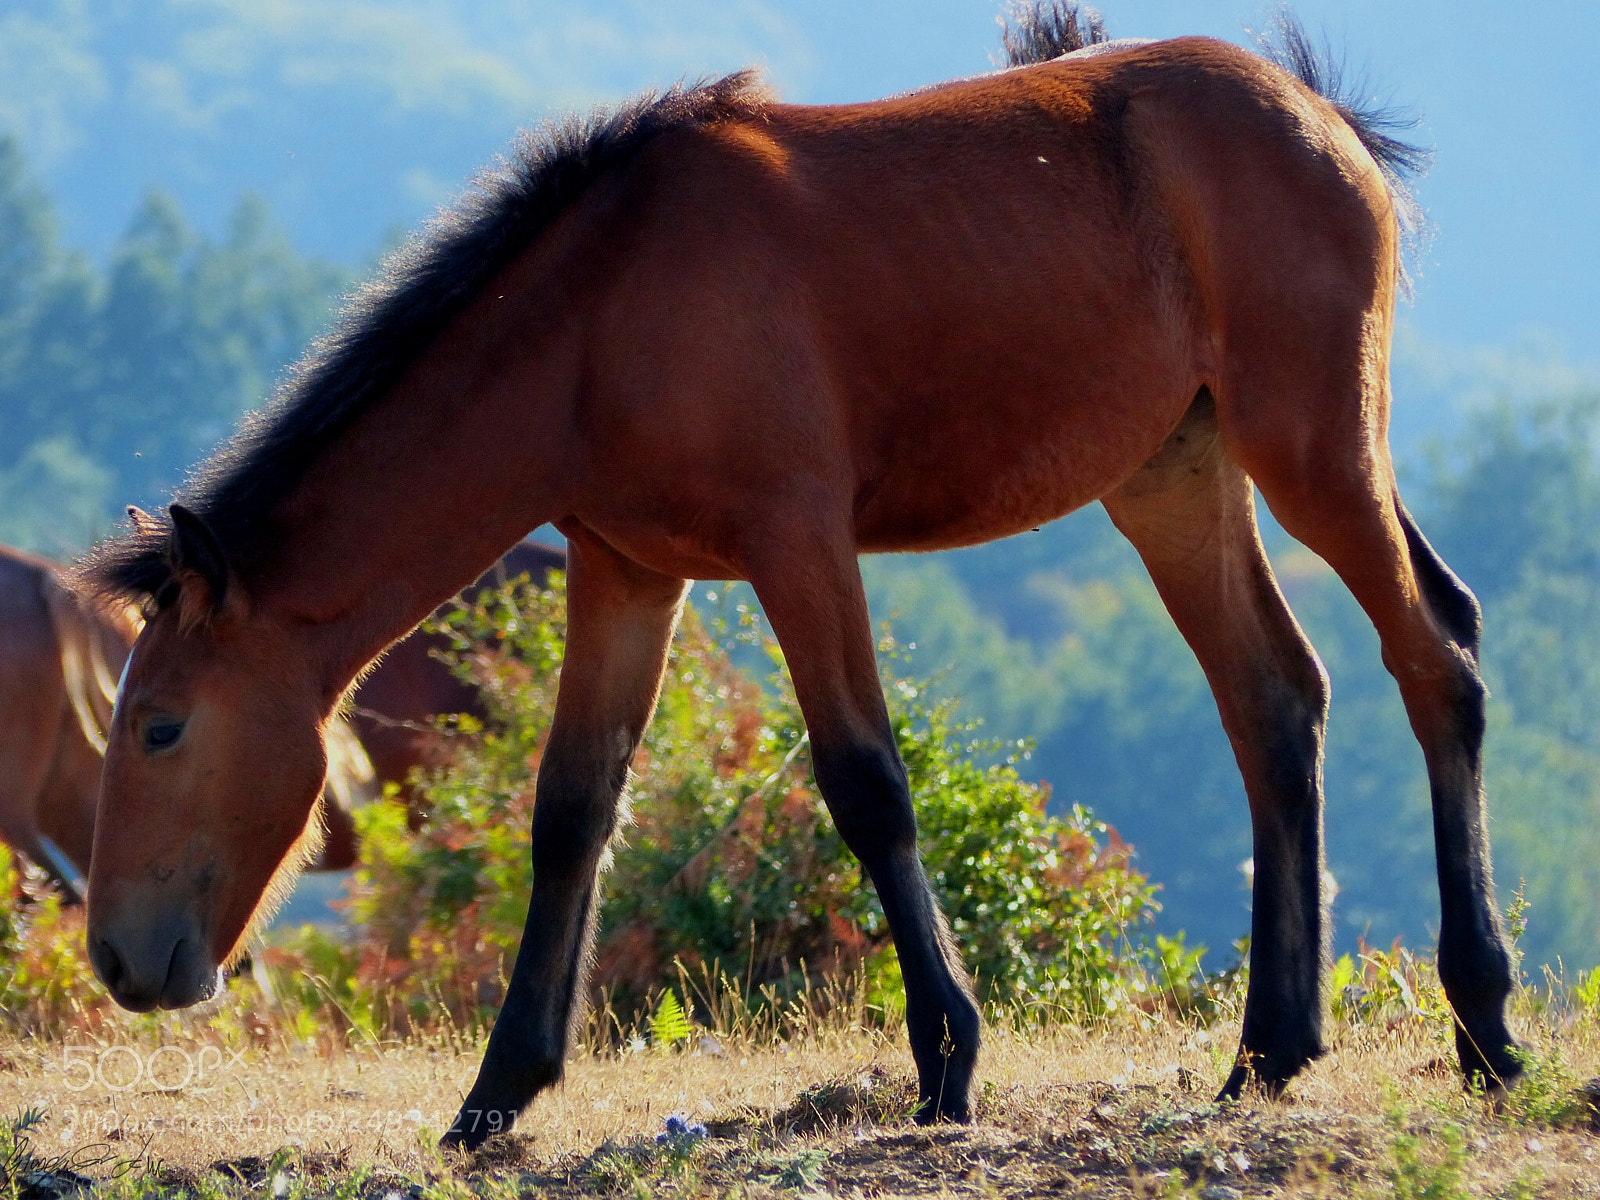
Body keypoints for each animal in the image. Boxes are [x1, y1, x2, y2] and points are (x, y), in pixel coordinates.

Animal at [77, 3, 1521, 1148]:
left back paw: (1484, 1023)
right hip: (1176, 476)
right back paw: (1268, 1050)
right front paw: (499, 1090)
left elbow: (866, 784)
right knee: (1275, 699)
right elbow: (569, 810)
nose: (119, 962)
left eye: (159, 727)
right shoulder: (624, 573)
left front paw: (946, 1060)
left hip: (1313, 443)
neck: (598, 316)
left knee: (1434, 657)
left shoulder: (799, 544)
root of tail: (1319, 112)